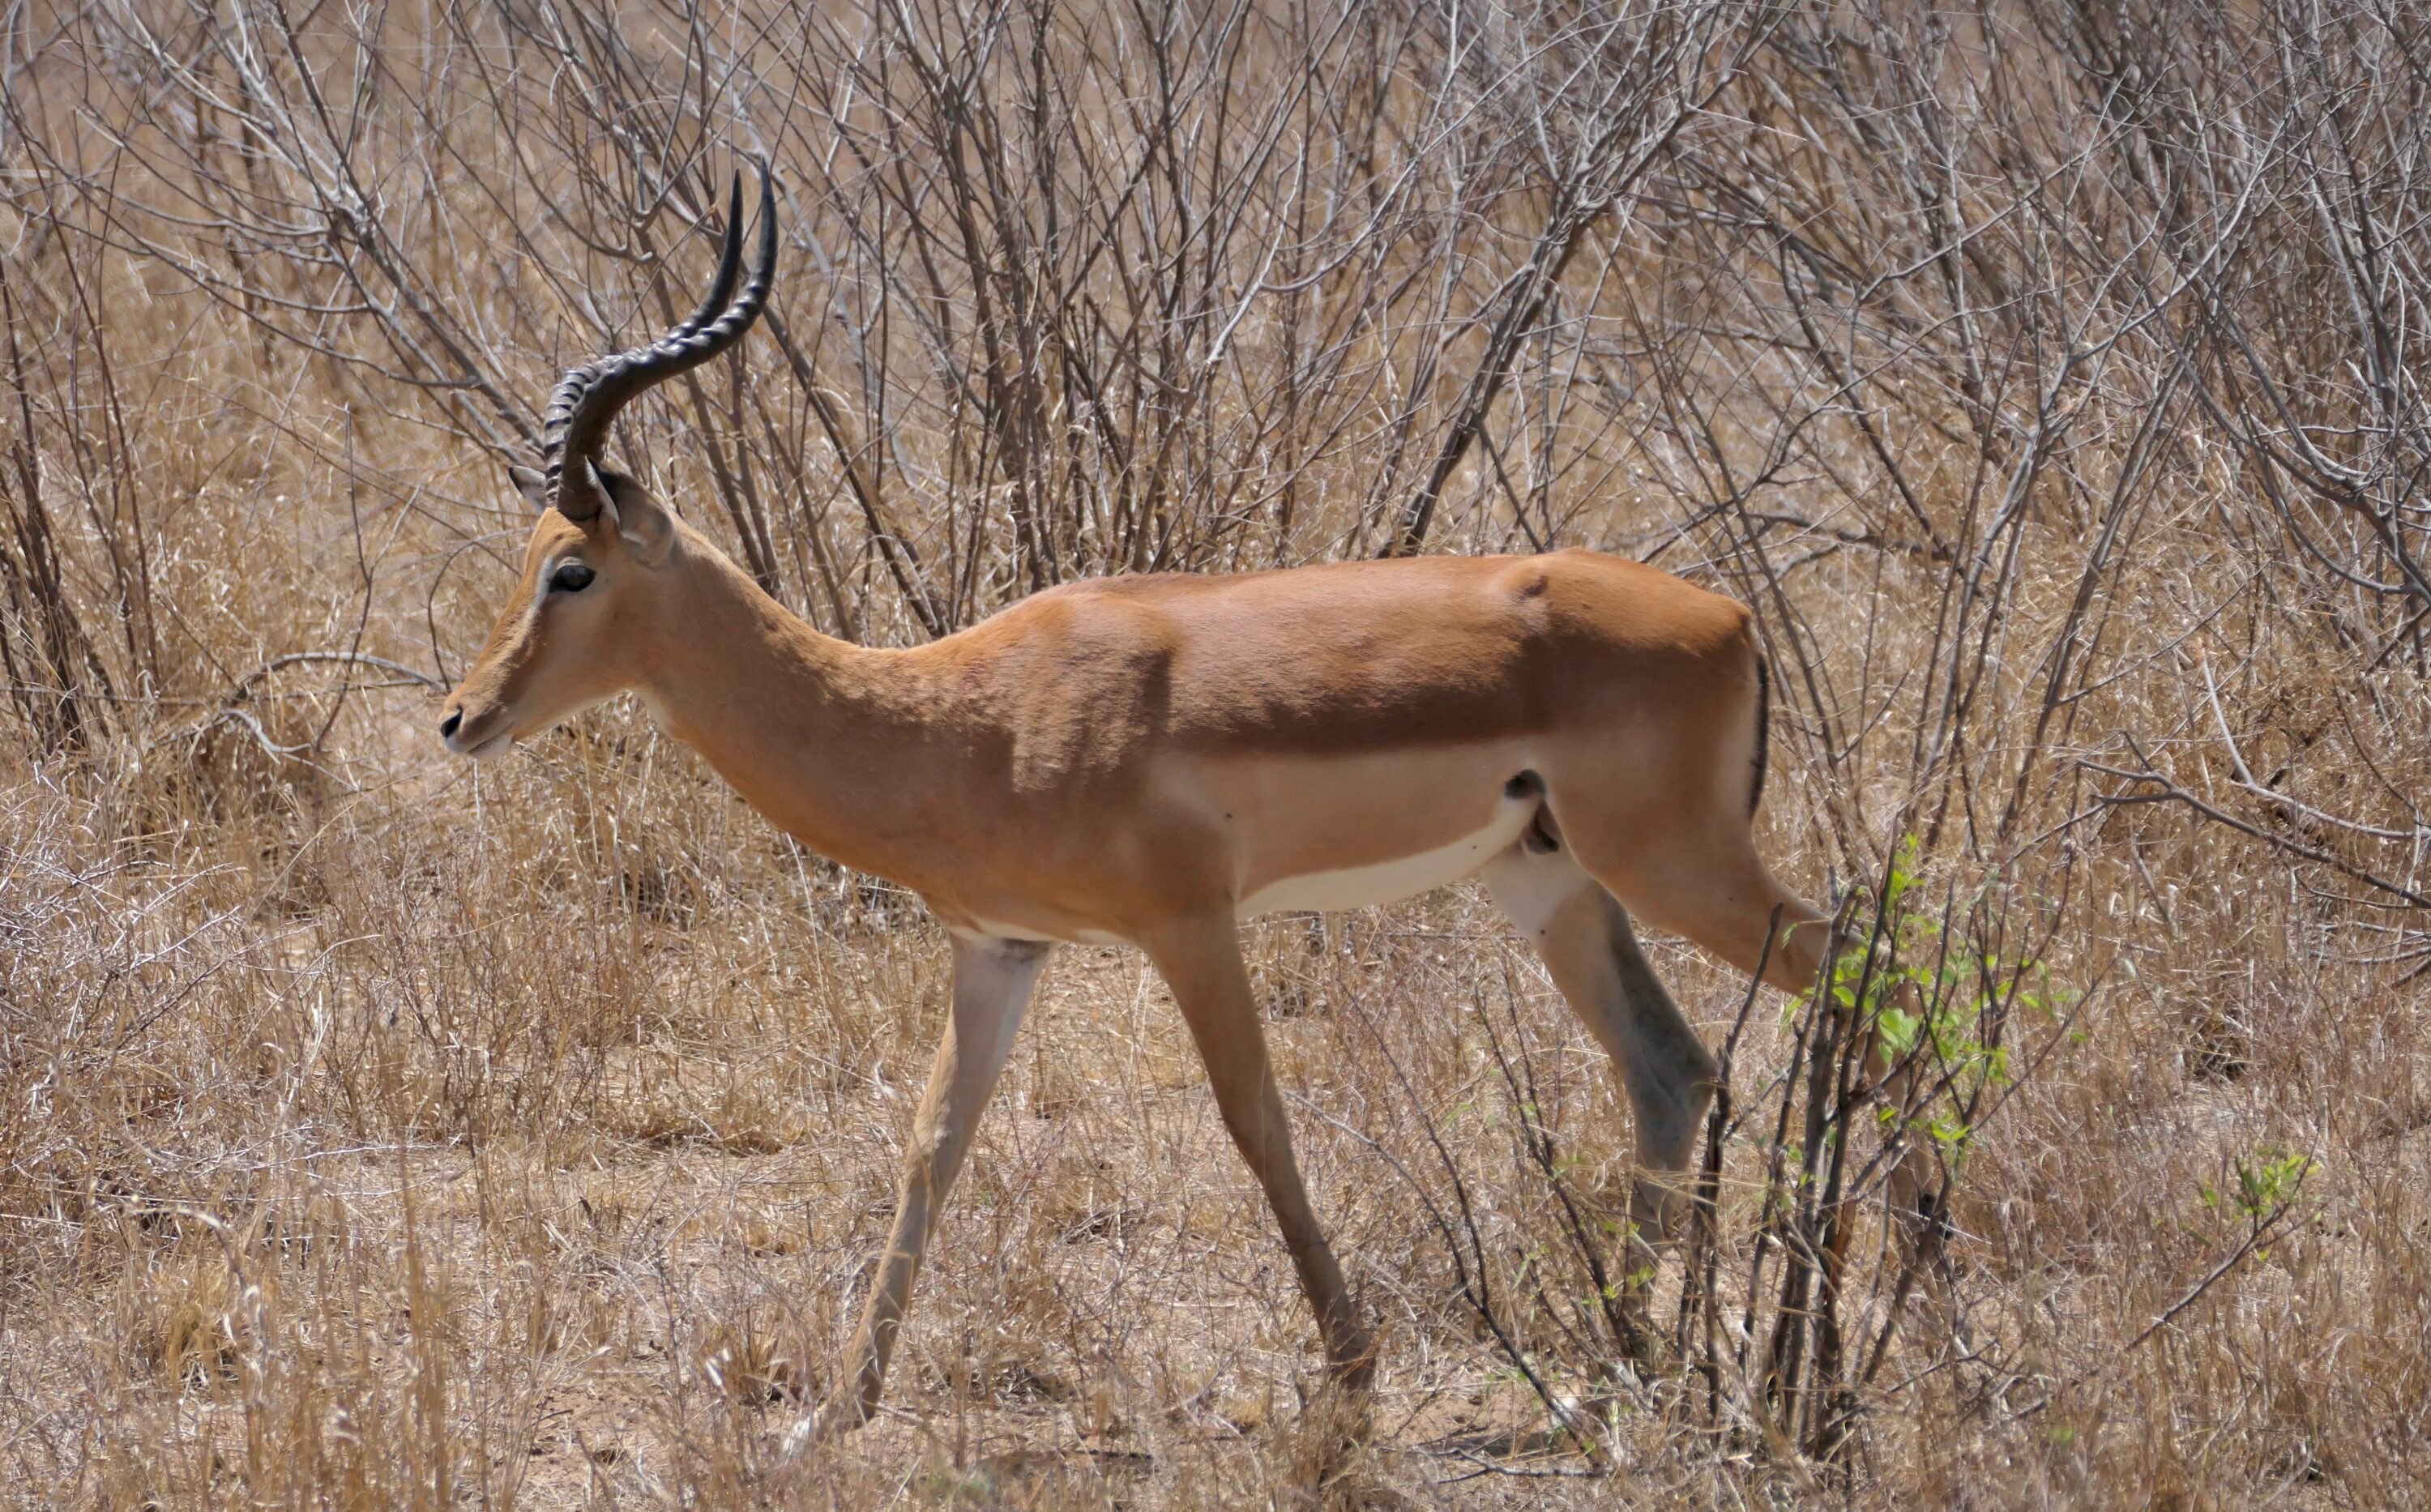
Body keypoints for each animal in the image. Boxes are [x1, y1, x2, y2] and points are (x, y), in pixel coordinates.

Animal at [439, 169, 1835, 1437]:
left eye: (572, 569)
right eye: (530, 558)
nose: (461, 716)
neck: (965, 714)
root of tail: (1733, 616)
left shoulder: (1189, 923)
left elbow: (1256, 1121)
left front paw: (1351, 1376)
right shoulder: (1000, 946)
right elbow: (930, 1145)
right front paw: (831, 1412)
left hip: (1678, 864)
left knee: (1854, 965)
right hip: (1548, 873)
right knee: (1672, 1069)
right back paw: (1620, 1369)